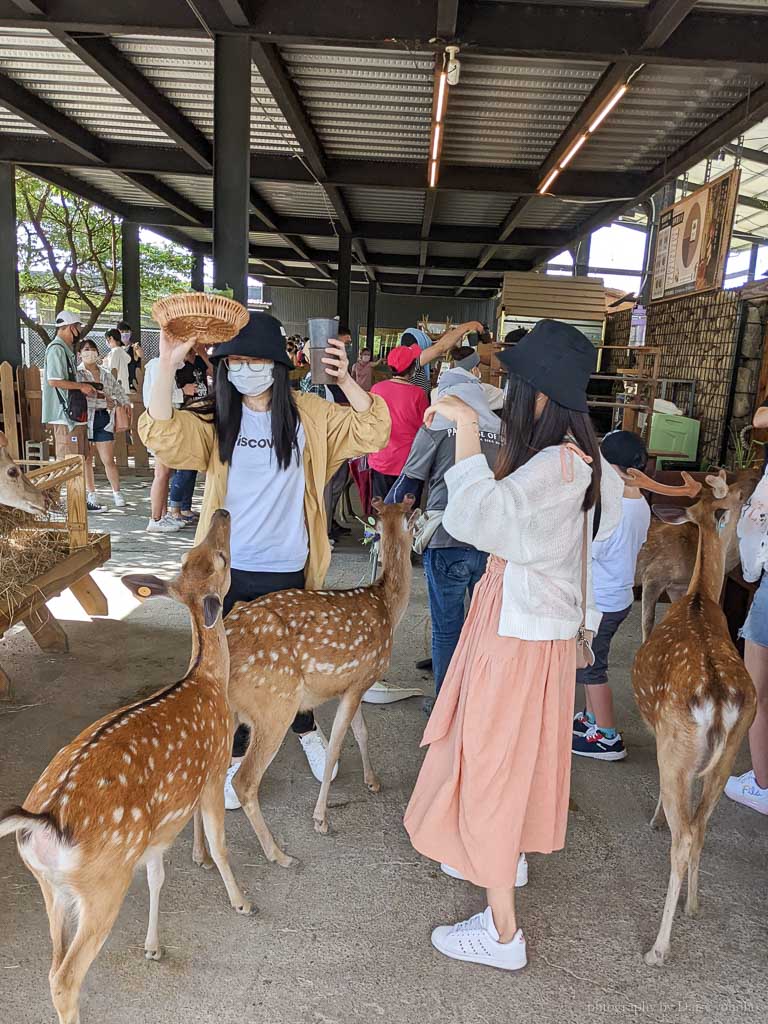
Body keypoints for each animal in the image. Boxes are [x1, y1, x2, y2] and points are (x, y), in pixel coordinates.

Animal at [0, 507, 252, 1019]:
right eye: (221, 559)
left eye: (194, 556)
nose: (221, 511)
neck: (207, 681)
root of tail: (40, 822)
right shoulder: (215, 767)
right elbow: (220, 844)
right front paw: (240, 902)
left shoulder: (156, 830)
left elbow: (158, 875)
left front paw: (153, 945)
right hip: (103, 882)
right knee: (65, 977)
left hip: (48, 885)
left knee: (51, 962)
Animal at [227, 491, 421, 860]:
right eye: (416, 521)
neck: (389, 607)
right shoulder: (361, 679)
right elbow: (335, 747)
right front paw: (320, 819)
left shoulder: (354, 683)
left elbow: (362, 732)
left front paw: (372, 781)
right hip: (275, 705)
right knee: (243, 780)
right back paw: (278, 854)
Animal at [630, 471, 757, 966]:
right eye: (736, 501)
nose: (749, 484)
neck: (701, 595)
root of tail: (719, 699)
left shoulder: (662, 737)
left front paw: (653, 818)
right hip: (730, 752)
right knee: (701, 827)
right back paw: (694, 905)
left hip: (678, 746)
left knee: (684, 836)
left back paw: (658, 948)